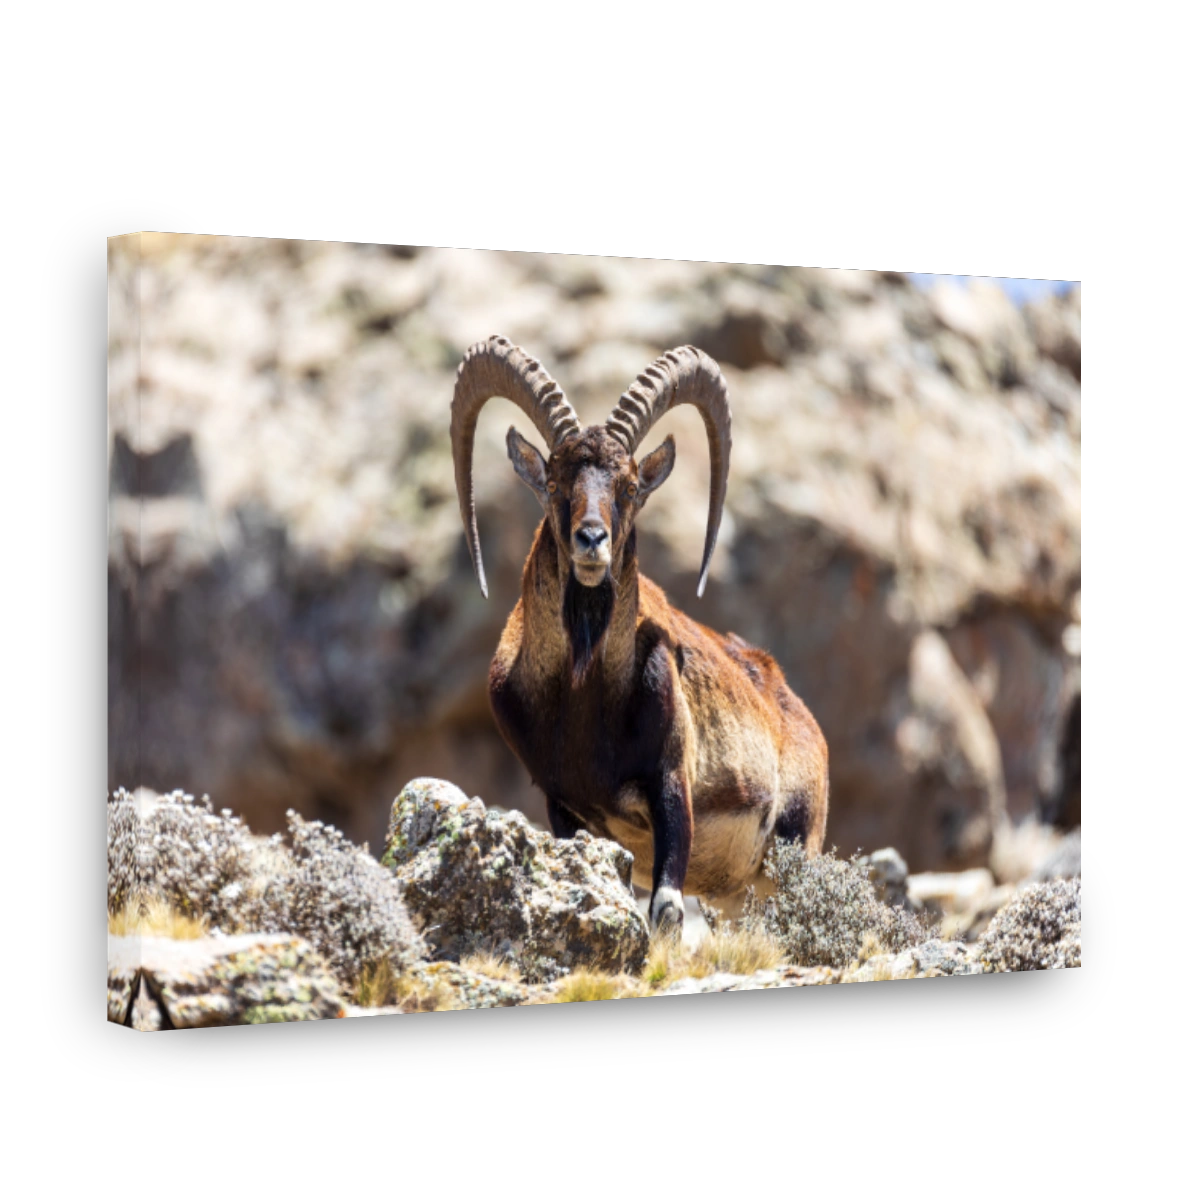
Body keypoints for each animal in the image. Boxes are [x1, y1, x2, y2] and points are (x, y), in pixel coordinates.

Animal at [451, 335, 829, 933]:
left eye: (628, 487)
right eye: (554, 481)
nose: (591, 540)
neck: (582, 695)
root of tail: (797, 712)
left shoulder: (672, 785)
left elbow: (667, 910)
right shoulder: (563, 807)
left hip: (796, 846)